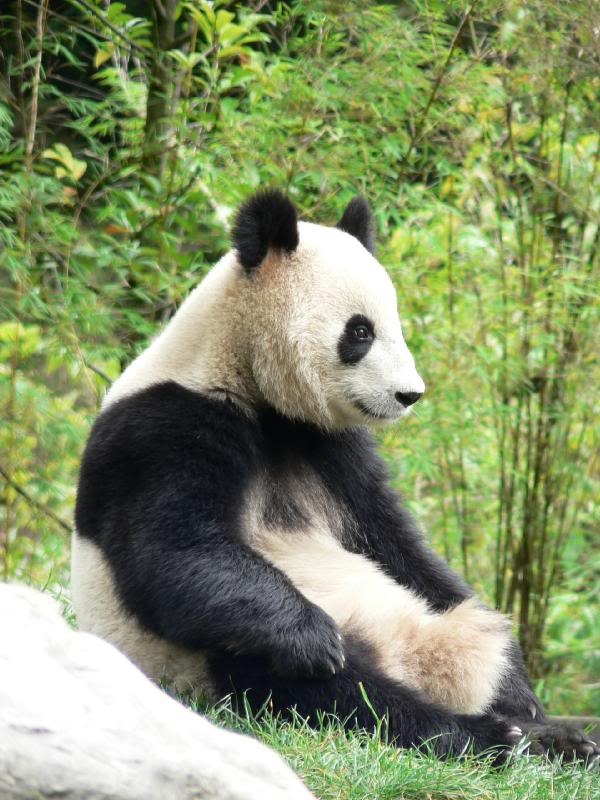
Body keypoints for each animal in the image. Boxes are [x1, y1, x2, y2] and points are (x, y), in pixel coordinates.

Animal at [72, 190, 598, 762]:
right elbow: (173, 550)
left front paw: (520, 689)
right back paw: (483, 735)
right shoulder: (161, 428)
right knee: (330, 690)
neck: (245, 376)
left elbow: (400, 549)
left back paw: (551, 732)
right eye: (360, 331)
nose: (409, 394)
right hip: (196, 661)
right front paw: (312, 637)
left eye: (396, 325)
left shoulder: (331, 447)